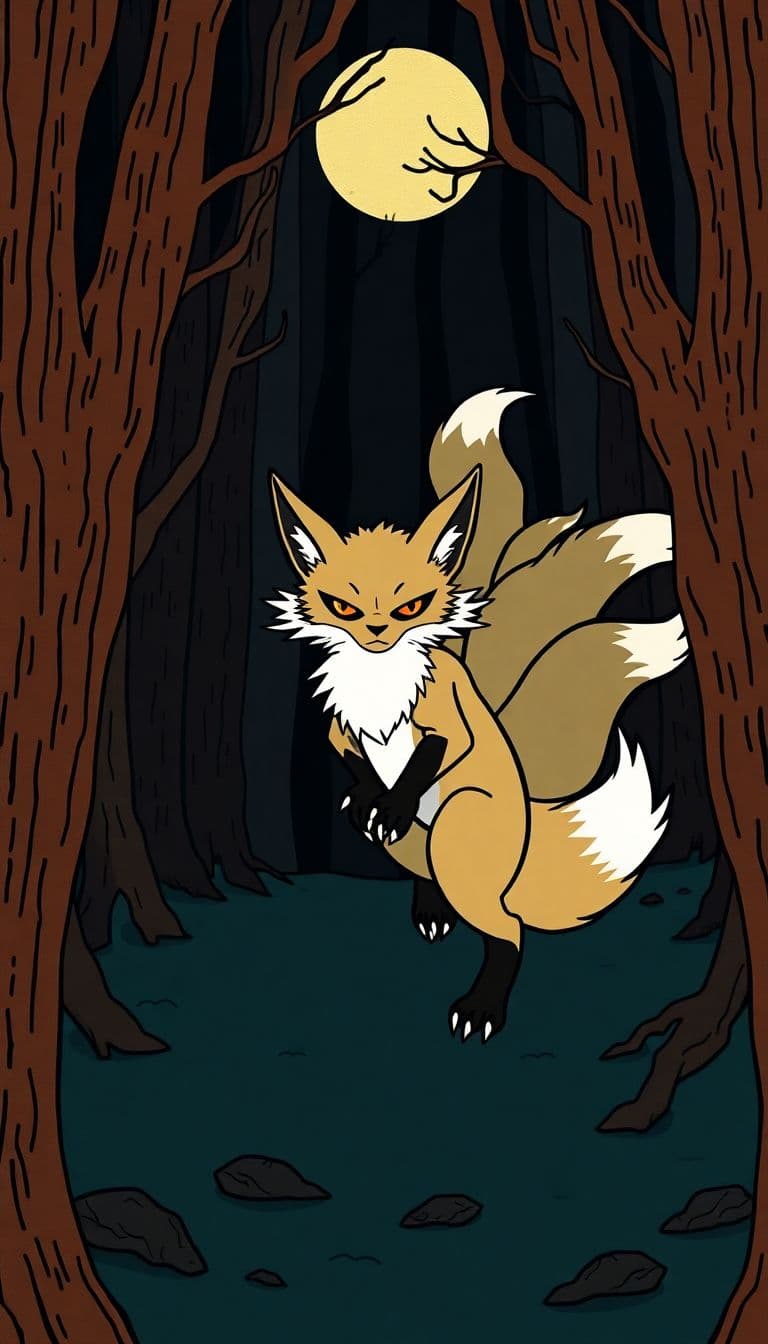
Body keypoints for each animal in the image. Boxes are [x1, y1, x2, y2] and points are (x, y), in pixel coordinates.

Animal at [267, 388, 688, 1043]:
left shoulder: (448, 721)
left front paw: (391, 797)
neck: (380, 683)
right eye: (344, 607)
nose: (378, 632)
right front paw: (369, 794)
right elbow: (352, 758)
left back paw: (482, 1004)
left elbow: (432, 753)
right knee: (429, 871)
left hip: (461, 822)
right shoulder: (340, 727)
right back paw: (428, 904)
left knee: (507, 929)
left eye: (411, 606)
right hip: (422, 846)